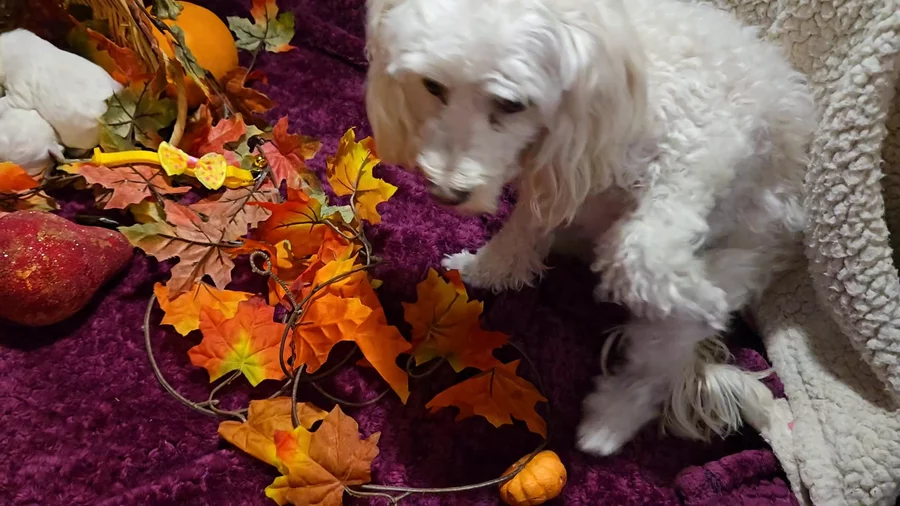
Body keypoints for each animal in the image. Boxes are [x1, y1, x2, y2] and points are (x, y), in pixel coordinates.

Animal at [364, 0, 816, 455]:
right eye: (433, 86)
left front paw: (698, 295)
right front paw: (481, 270)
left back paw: (609, 422)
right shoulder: (557, 177)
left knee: (654, 371)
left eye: (510, 103)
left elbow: (639, 247)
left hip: (726, 269)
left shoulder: (702, 143)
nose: (446, 193)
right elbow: (520, 232)